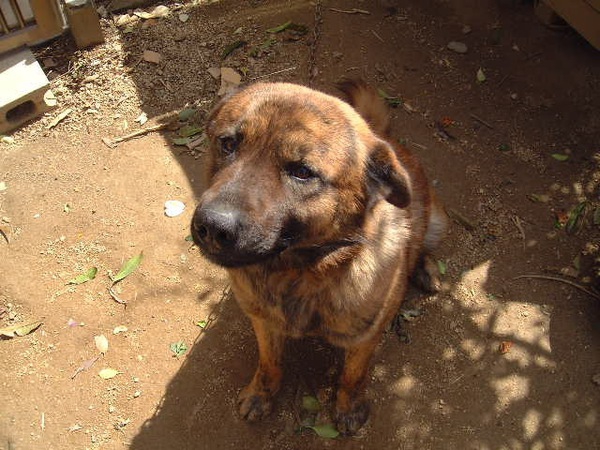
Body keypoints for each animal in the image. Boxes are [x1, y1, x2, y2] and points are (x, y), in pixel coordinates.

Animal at [192, 79, 446, 434]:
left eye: (302, 171)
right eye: (227, 144)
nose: (212, 227)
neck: (301, 274)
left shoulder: (365, 336)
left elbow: (353, 376)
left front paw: (348, 408)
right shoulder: (263, 322)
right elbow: (269, 363)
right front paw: (260, 394)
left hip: (437, 221)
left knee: (422, 245)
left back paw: (425, 269)